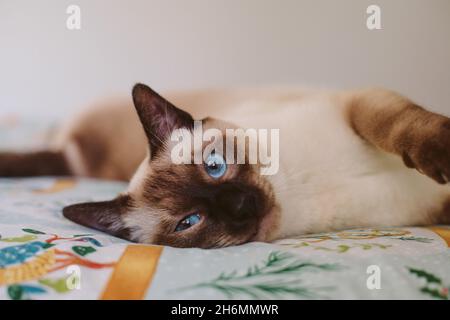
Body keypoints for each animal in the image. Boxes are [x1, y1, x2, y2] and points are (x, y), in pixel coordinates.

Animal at [0, 84, 450, 249]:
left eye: (214, 165)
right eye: (189, 222)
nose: (240, 206)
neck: (296, 190)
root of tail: (71, 148)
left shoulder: (358, 104)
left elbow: (402, 128)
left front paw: (440, 155)